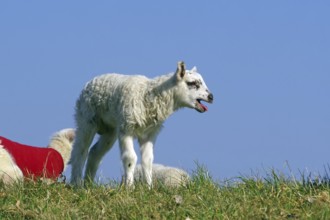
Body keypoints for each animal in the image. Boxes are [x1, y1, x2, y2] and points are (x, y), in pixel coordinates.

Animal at [70, 61, 214, 186]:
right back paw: (76, 184)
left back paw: (88, 184)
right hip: (87, 119)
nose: (211, 97)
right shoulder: (126, 127)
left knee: (94, 153)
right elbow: (130, 158)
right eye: (192, 83)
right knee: (80, 151)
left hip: (110, 130)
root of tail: (91, 81)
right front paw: (129, 187)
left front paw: (149, 187)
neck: (149, 95)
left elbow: (148, 160)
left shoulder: (150, 133)